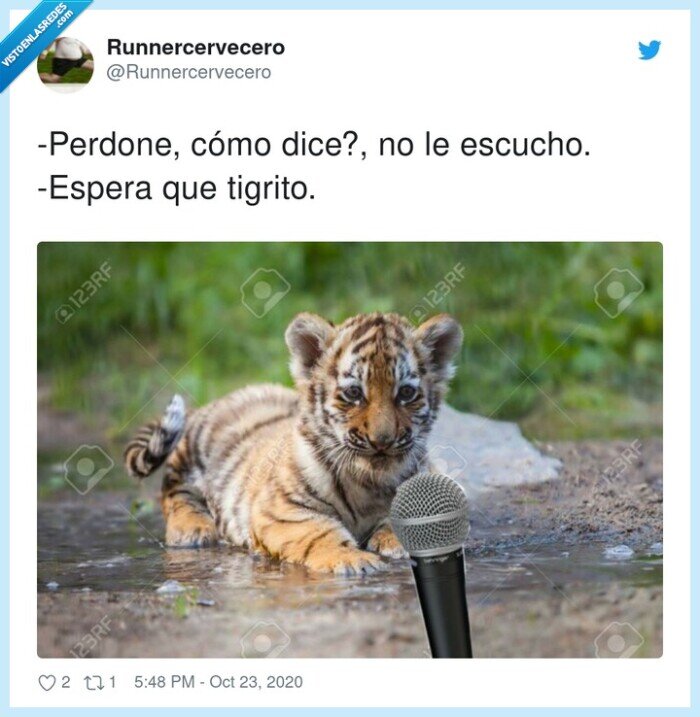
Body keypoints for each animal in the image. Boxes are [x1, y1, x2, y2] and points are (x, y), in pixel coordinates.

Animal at [124, 311, 463, 575]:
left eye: (406, 393)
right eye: (354, 393)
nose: (382, 441)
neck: (369, 480)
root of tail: (221, 398)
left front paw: (397, 542)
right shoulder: (281, 509)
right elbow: (319, 533)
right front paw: (353, 560)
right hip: (193, 452)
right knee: (174, 489)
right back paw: (192, 529)